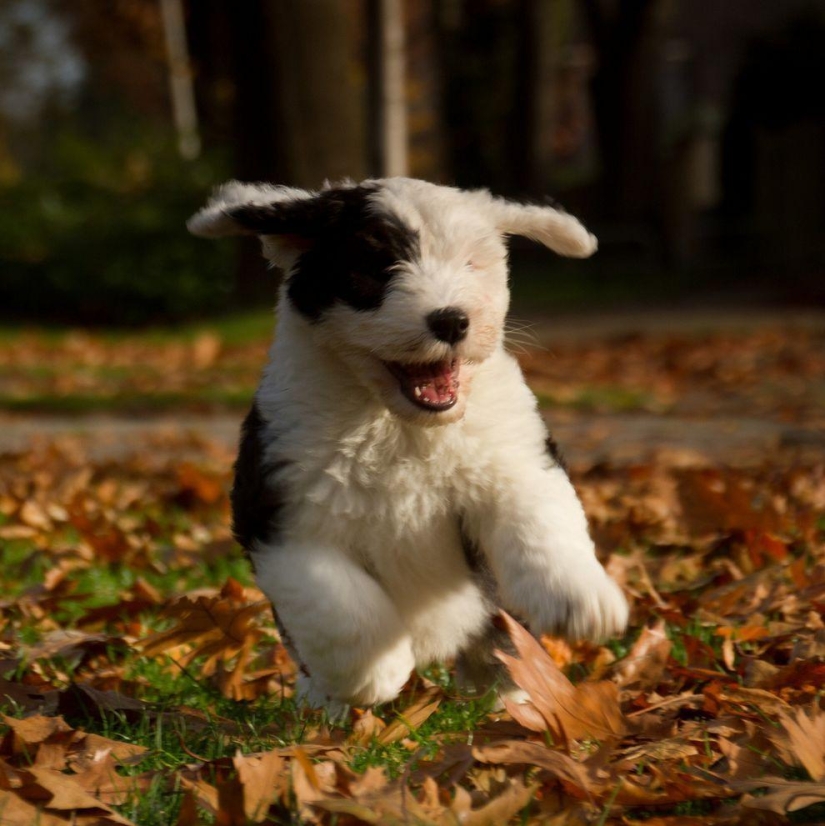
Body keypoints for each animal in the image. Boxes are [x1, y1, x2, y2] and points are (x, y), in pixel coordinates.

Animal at [188, 177, 624, 712]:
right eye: (377, 267)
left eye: (471, 263)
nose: (452, 320)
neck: (401, 425)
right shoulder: (282, 513)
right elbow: (337, 603)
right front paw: (378, 673)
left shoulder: (513, 461)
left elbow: (541, 523)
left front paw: (582, 601)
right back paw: (328, 705)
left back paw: (514, 699)